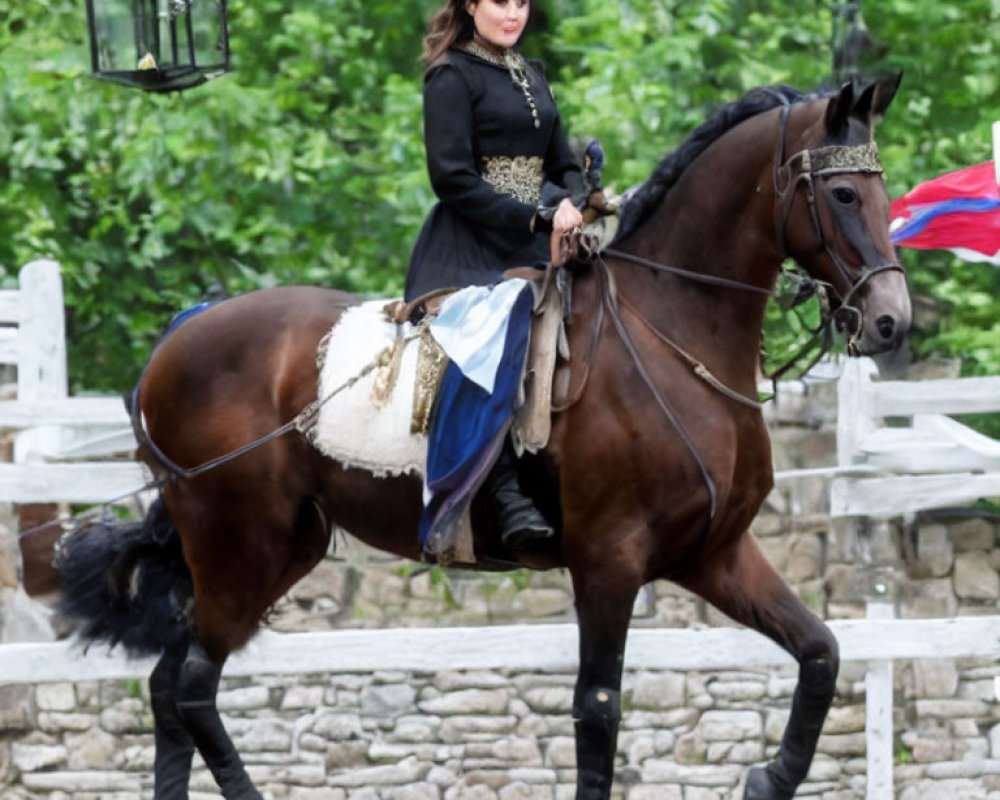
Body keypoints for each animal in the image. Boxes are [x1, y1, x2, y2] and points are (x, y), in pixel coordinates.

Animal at [58, 76, 912, 800]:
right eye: (842, 192)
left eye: (884, 190)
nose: (889, 322)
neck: (671, 334)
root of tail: (176, 340)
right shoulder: (610, 560)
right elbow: (598, 709)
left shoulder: (715, 554)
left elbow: (822, 652)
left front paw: (769, 778)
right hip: (240, 547)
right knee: (193, 686)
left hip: (275, 550)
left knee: (169, 686)